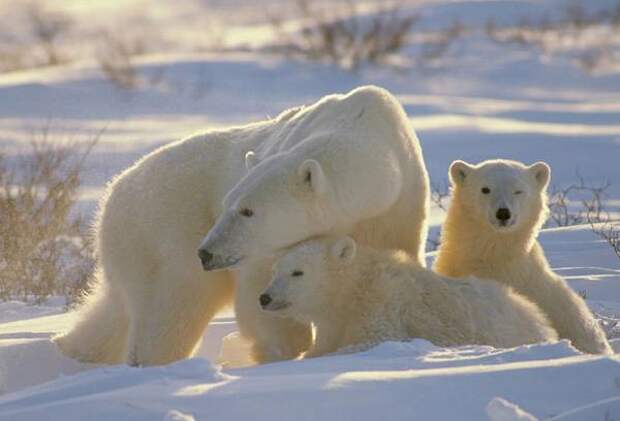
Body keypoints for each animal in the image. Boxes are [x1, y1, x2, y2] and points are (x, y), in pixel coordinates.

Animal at [55, 85, 428, 364]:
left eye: (247, 211)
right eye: (227, 204)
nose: (206, 253)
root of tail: (111, 194)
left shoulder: (398, 209)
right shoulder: (263, 251)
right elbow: (260, 292)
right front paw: (283, 347)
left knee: (114, 311)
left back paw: (72, 349)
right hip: (162, 232)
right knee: (172, 309)